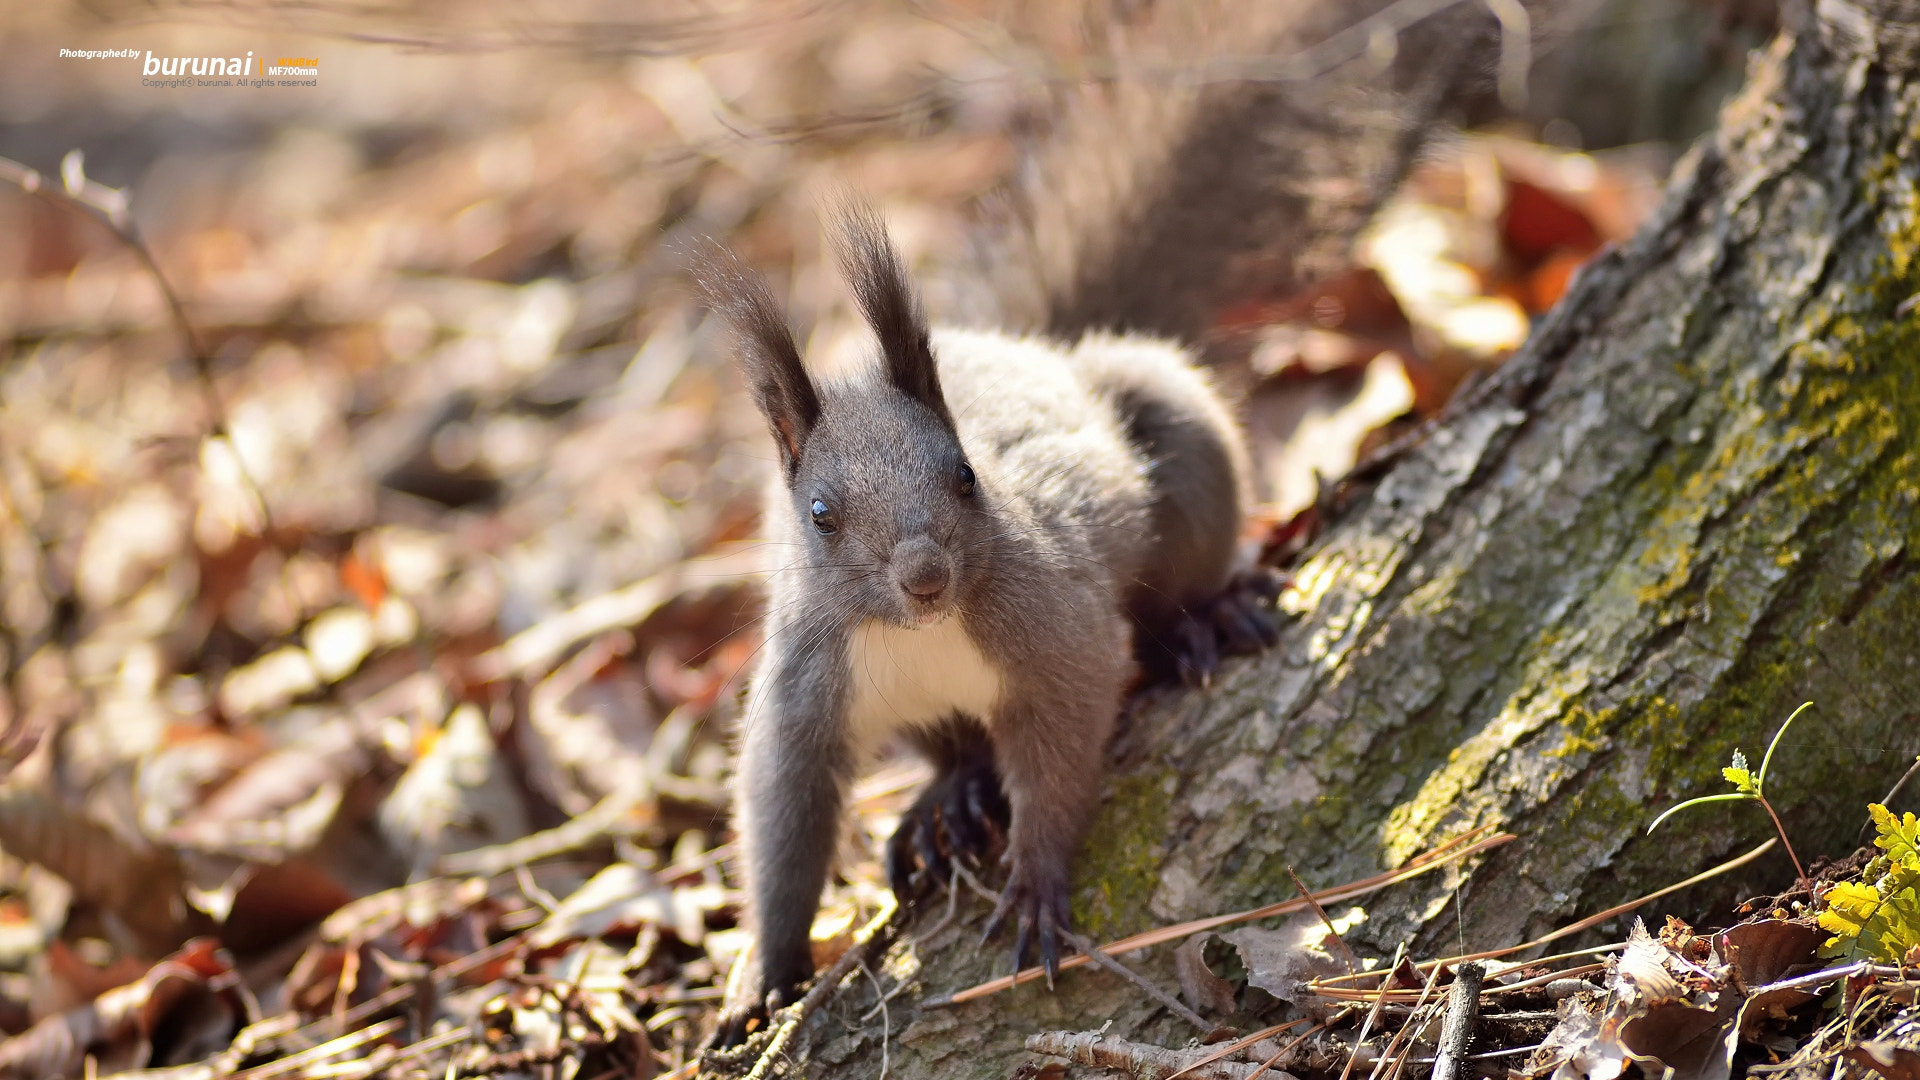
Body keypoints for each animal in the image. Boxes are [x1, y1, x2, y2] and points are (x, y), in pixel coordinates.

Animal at [695, 199, 1274, 1045]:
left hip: (1176, 432)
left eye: (966, 476)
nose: (925, 577)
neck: (919, 634)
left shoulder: (1055, 631)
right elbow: (784, 808)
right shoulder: (809, 677)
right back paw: (952, 799)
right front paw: (766, 975)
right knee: (953, 748)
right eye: (820, 514)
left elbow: (1061, 745)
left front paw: (1035, 880)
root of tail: (1034, 351)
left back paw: (1206, 617)